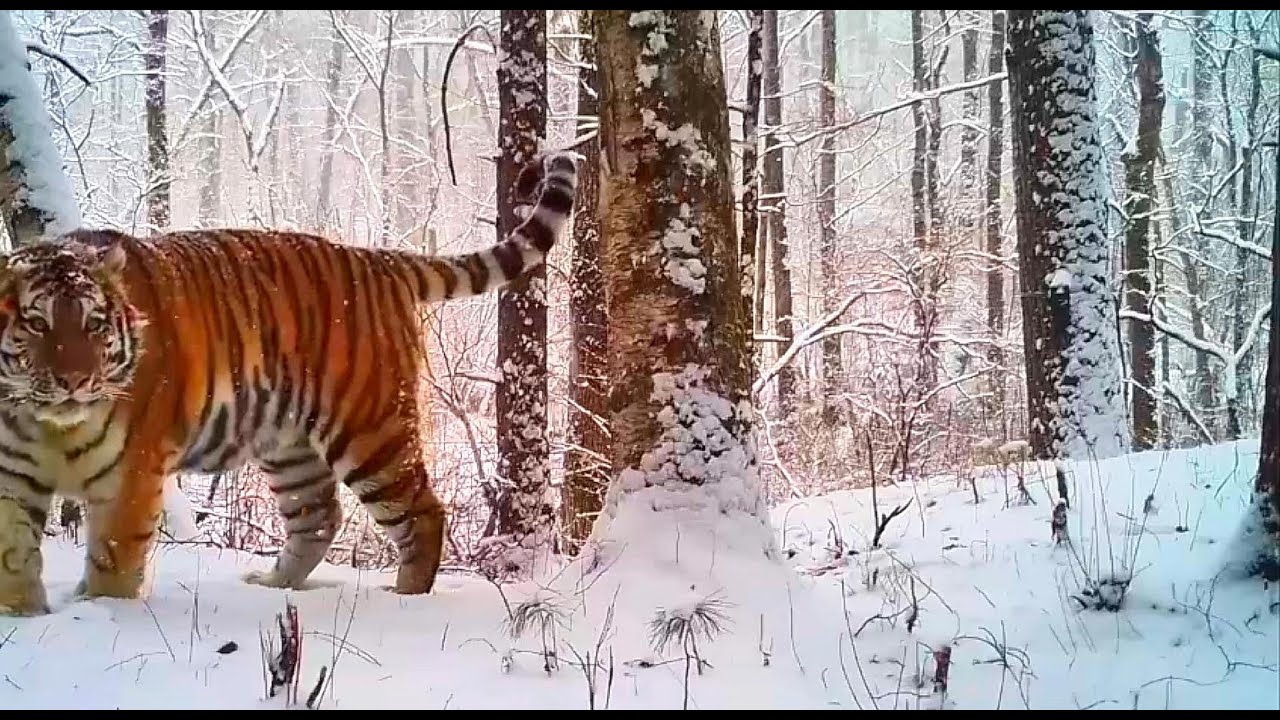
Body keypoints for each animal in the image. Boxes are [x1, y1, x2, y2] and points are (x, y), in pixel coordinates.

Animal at [0, 150, 579, 616]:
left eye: (94, 324)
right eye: (38, 324)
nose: (75, 380)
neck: (50, 425)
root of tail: (378, 258)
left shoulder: (131, 476)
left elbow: (114, 563)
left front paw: (100, 615)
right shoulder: (11, 472)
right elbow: (13, 554)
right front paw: (24, 615)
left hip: (371, 432)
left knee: (422, 514)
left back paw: (405, 598)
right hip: (288, 443)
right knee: (318, 517)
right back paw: (274, 586)